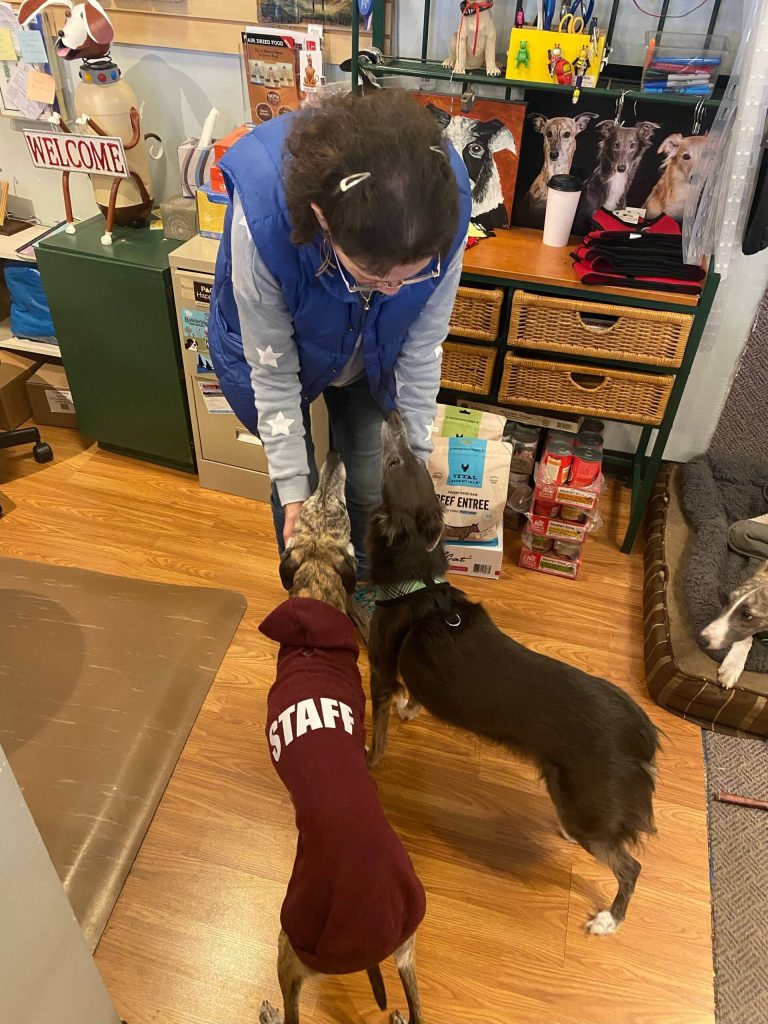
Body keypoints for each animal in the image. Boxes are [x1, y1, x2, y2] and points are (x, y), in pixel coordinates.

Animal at [259, 452, 427, 1024]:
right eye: (313, 502)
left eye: (339, 517)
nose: (331, 457)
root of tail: (375, 937)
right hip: (407, 953)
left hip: (289, 944)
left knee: (291, 1012)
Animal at [365, 413, 660, 936]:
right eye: (415, 462)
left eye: (397, 463)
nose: (392, 415)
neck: (418, 580)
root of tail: (637, 736)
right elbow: (412, 697)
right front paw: (410, 710)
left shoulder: (380, 672)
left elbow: (375, 736)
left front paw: (366, 762)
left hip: (587, 811)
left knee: (630, 867)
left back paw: (609, 919)